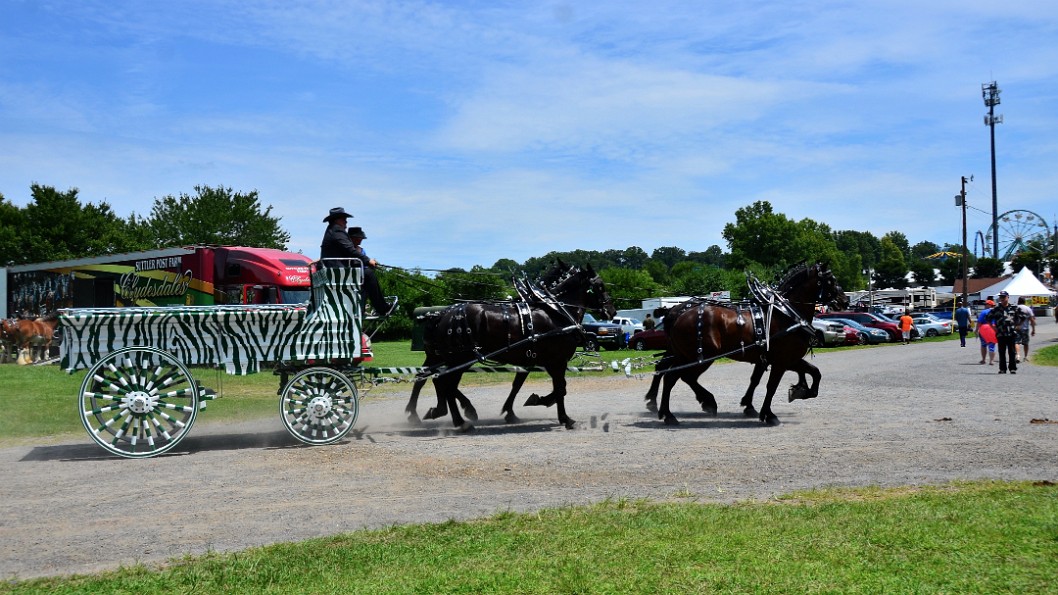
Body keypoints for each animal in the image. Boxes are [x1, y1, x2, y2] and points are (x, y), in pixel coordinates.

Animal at [408, 261, 617, 427]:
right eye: (600, 286)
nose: (611, 311)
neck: (555, 310)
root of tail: (441, 315)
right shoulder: (556, 361)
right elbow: (560, 388)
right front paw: (563, 417)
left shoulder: (534, 360)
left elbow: (521, 384)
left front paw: (520, 408)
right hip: (458, 359)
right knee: (444, 384)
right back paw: (460, 420)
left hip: (441, 357)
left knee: (427, 378)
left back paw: (425, 413)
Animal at [651, 261, 850, 423]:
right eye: (831, 280)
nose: (845, 300)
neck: (785, 314)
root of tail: (677, 314)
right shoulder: (781, 361)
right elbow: (771, 386)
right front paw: (768, 414)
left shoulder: (784, 359)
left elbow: (814, 373)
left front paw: (799, 391)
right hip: (699, 356)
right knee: (676, 376)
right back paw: (681, 409)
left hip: (684, 355)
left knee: (669, 373)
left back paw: (667, 409)